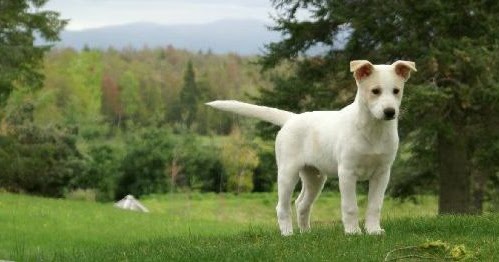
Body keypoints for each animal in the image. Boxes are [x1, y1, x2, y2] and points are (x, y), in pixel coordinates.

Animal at [205, 59, 416, 235]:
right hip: (287, 173)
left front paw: (373, 231)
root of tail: (291, 118)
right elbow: (350, 207)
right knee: (282, 206)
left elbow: (374, 205)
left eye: (396, 91)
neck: (373, 129)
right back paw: (288, 234)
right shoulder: (347, 172)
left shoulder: (382, 173)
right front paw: (353, 232)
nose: (390, 112)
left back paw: (306, 233)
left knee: (301, 204)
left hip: (314, 177)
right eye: (375, 91)